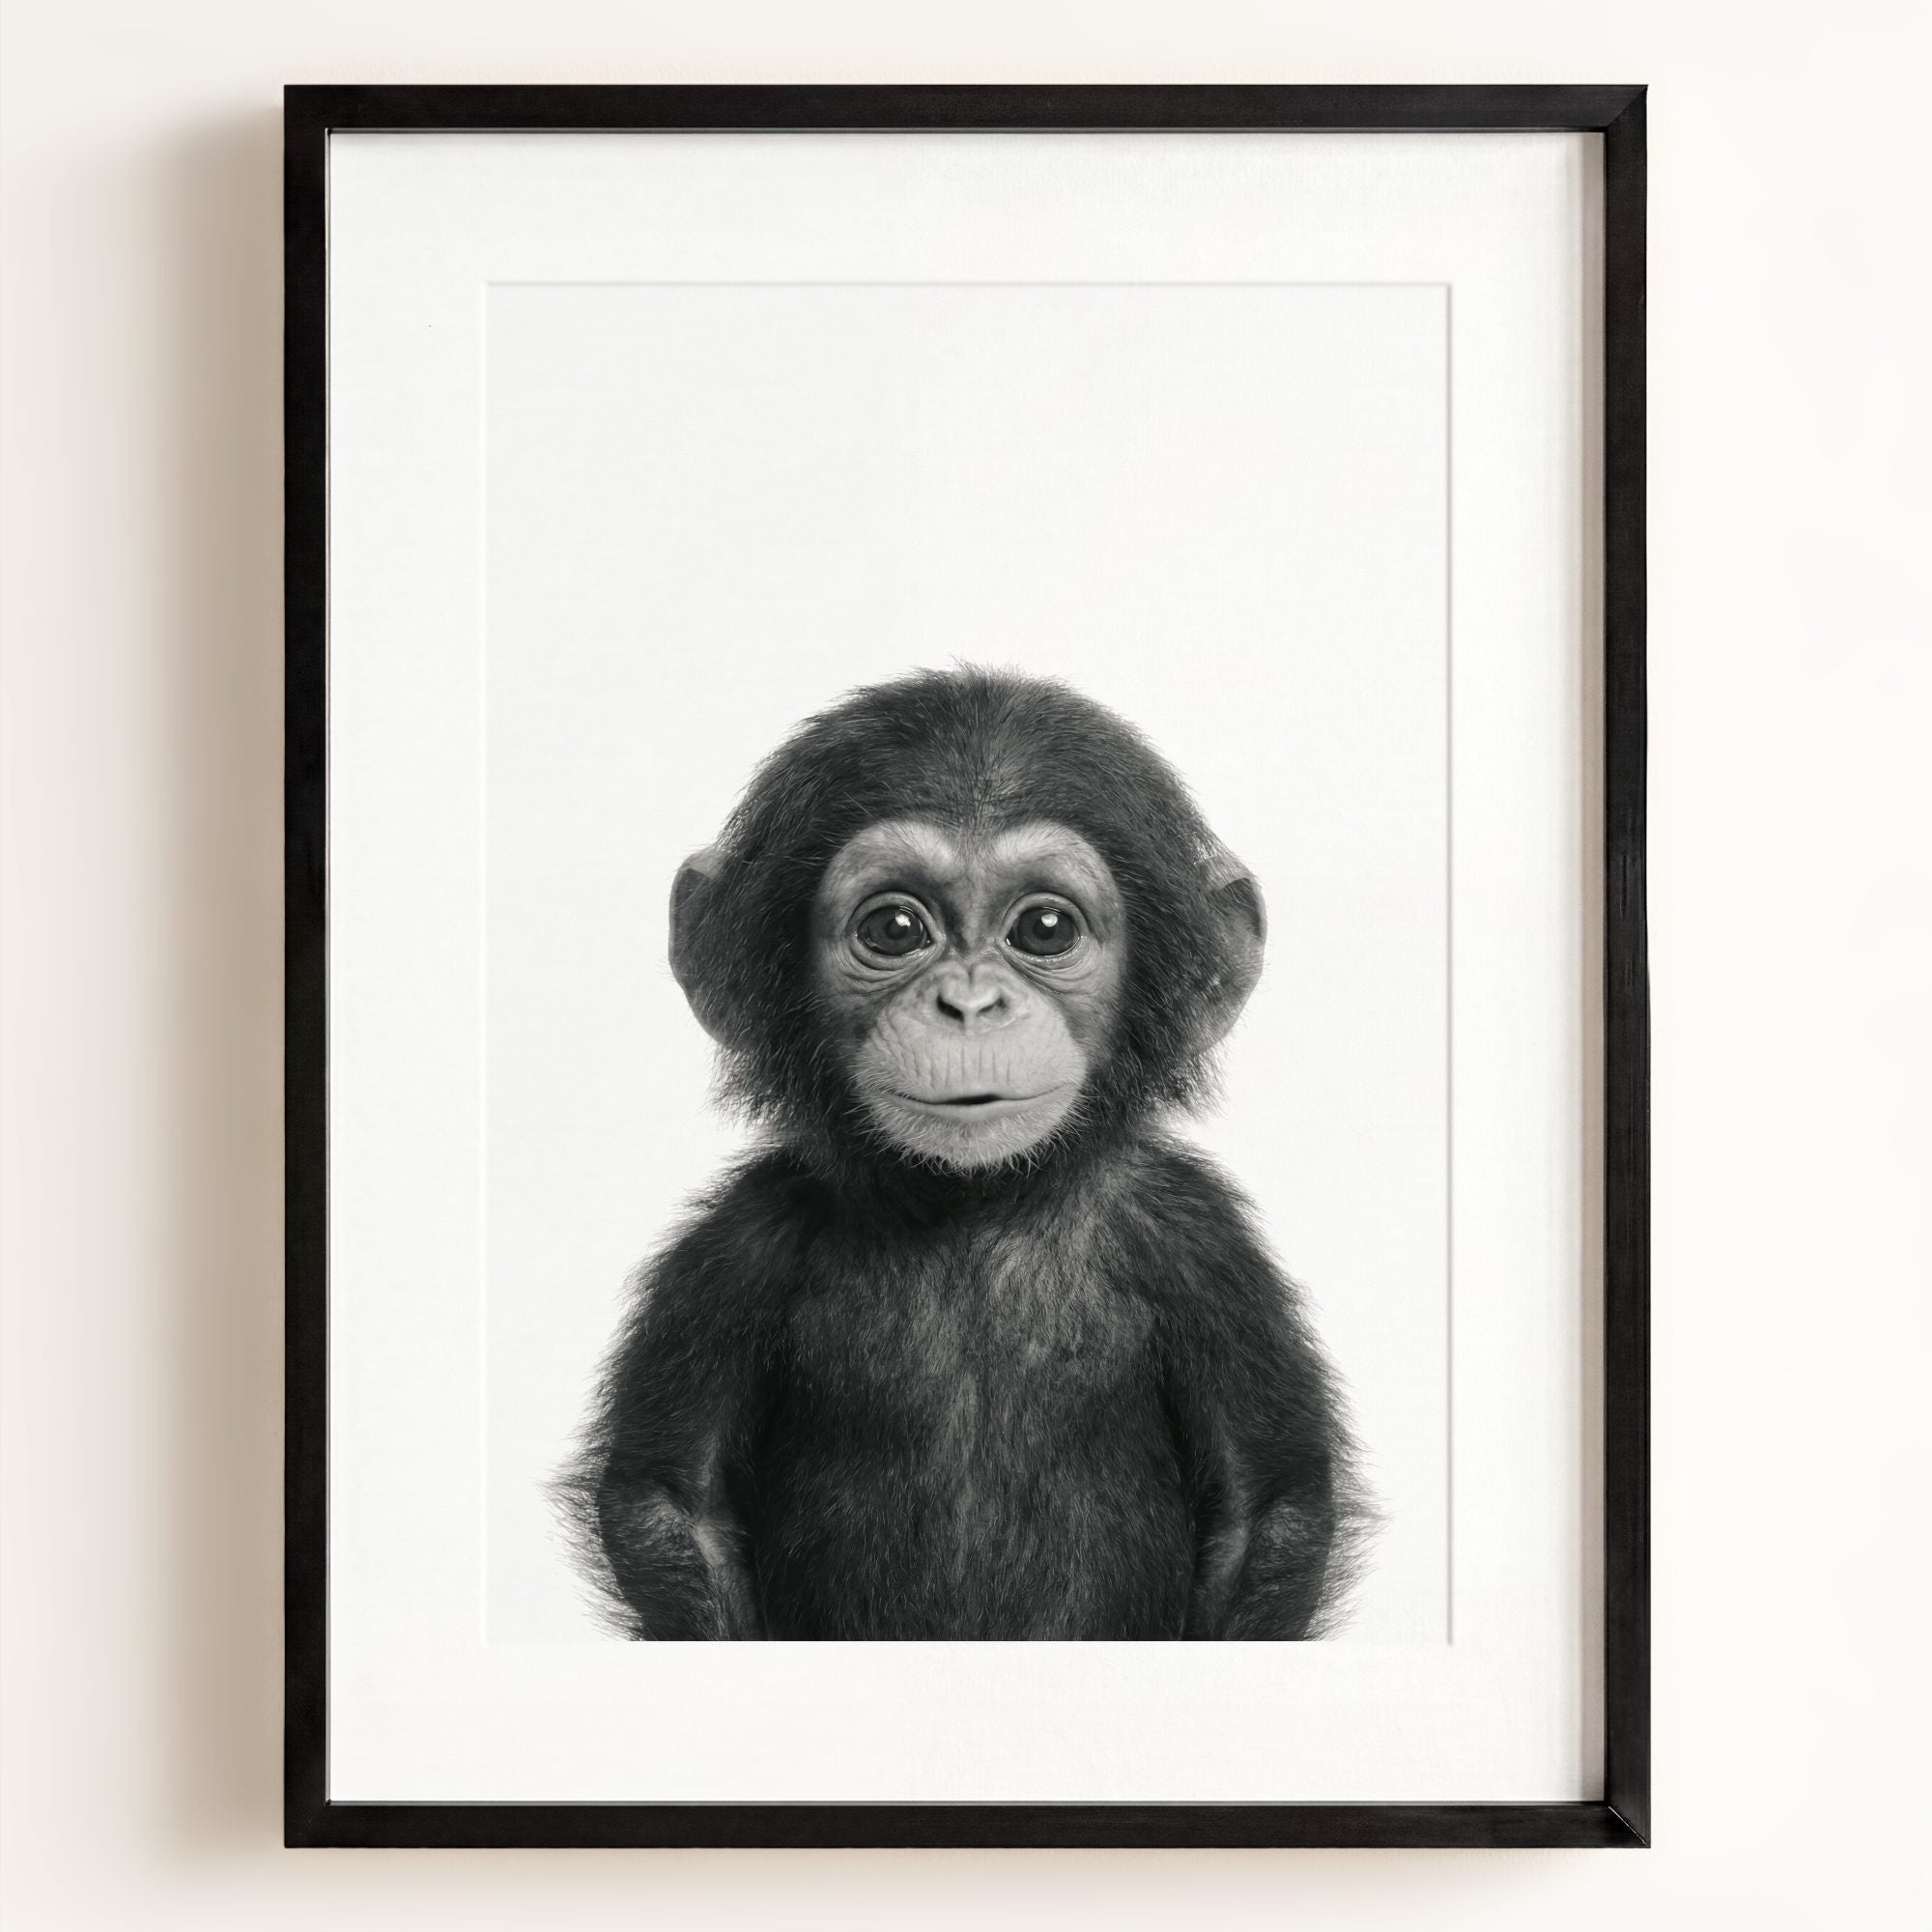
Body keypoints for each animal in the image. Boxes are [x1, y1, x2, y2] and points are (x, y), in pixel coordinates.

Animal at [566, 667, 1367, 1639]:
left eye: (1046, 928)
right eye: (896, 929)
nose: (971, 1005)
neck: (973, 1202)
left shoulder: (1201, 1244)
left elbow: (1267, 1510)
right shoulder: (738, 1247)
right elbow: (673, 1505)